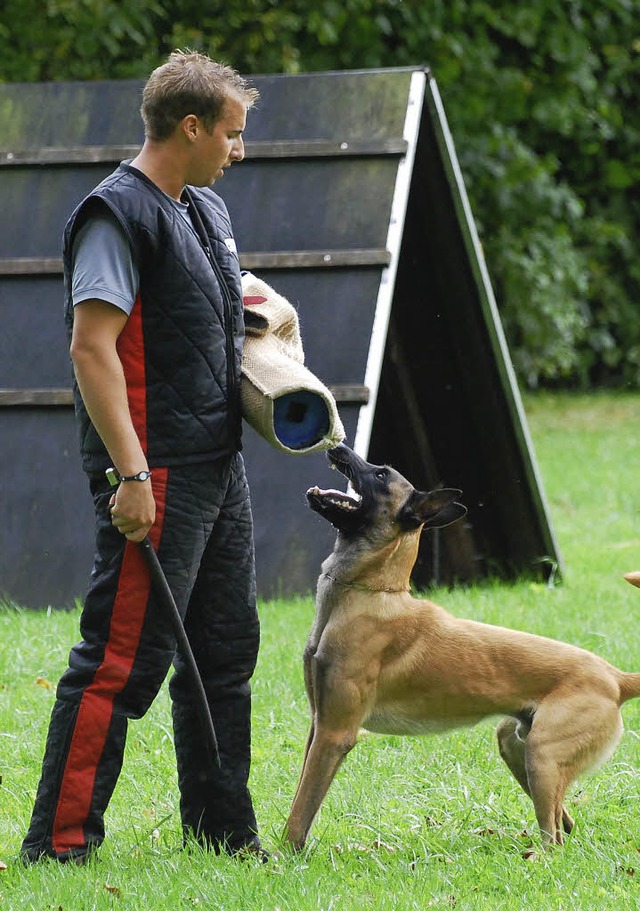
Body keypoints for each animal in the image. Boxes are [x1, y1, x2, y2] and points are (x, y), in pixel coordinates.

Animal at [284, 446, 640, 852]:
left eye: (381, 474)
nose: (336, 447)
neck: (369, 594)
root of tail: (615, 678)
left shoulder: (335, 733)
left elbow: (301, 811)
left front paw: (282, 857)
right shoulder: (319, 724)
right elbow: (302, 796)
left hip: (543, 756)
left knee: (554, 837)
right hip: (517, 747)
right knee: (564, 822)